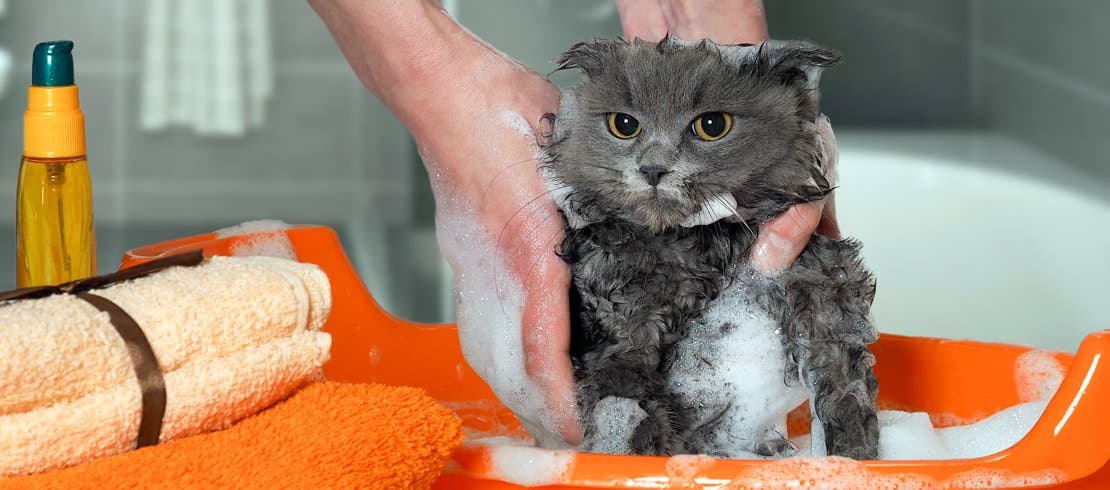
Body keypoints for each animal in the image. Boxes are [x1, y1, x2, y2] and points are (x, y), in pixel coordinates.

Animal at [541, 38, 879, 457]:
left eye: (712, 126)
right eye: (624, 125)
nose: (653, 169)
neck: (699, 244)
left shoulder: (818, 280)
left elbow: (843, 380)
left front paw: (852, 453)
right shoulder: (618, 325)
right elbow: (621, 389)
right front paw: (635, 448)